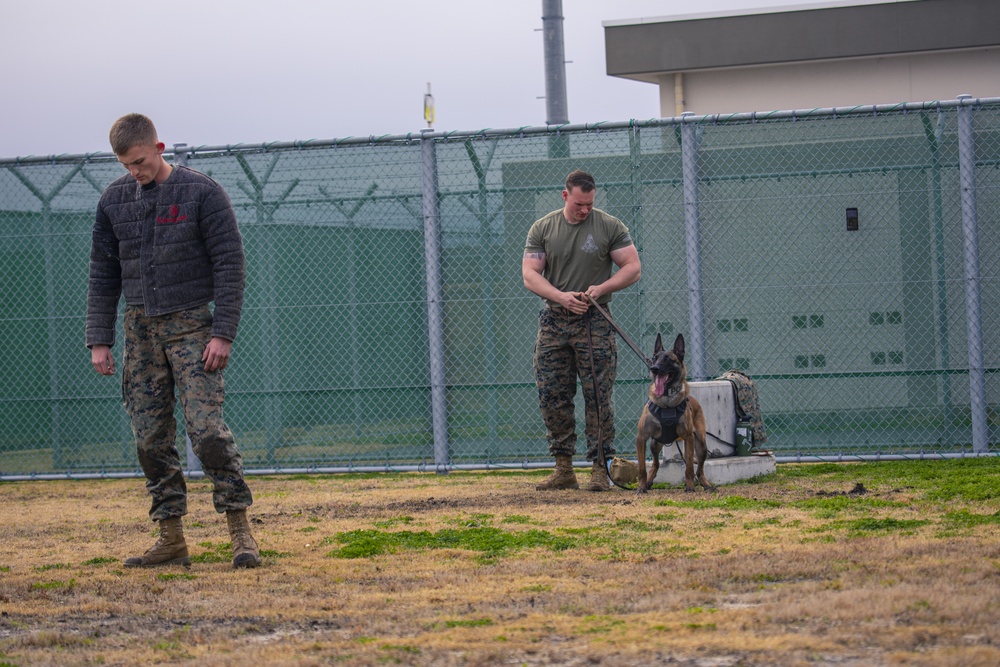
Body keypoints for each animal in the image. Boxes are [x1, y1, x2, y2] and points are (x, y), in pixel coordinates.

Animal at [636, 334, 716, 496]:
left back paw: (705, 484)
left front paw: (690, 486)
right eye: (654, 358)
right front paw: (641, 487)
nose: (654, 368)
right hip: (655, 444)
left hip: (701, 445)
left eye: (668, 359)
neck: (666, 401)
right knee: (655, 464)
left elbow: (689, 467)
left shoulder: (688, 437)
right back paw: (648, 482)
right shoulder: (641, 438)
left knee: (699, 469)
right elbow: (641, 468)